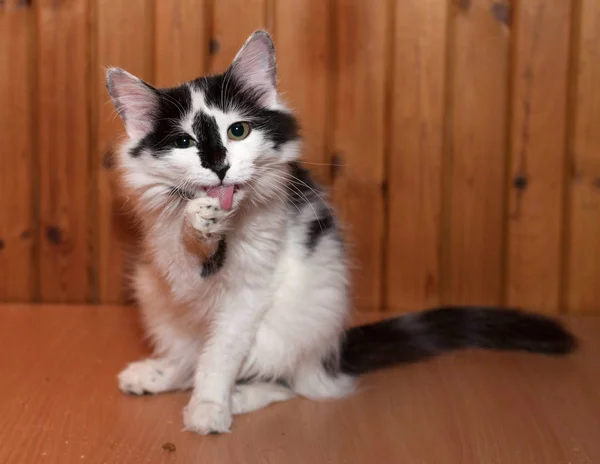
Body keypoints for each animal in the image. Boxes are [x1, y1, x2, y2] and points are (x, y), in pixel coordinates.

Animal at [108, 30, 576, 434]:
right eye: (185, 143)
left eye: (237, 131)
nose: (220, 166)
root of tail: (331, 354)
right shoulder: (168, 262)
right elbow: (186, 257)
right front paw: (199, 220)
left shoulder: (251, 288)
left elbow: (220, 355)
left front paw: (209, 406)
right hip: (153, 295)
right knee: (189, 353)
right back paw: (157, 373)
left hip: (298, 323)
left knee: (293, 382)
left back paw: (238, 396)